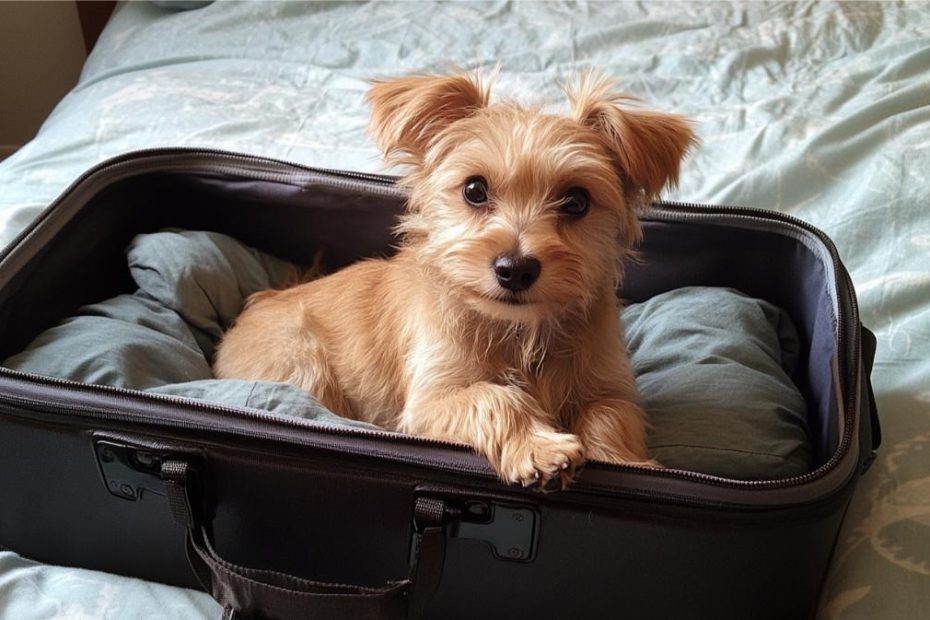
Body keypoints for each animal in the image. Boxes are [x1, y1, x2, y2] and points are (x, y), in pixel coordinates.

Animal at [214, 71, 692, 490]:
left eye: (577, 201)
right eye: (474, 190)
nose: (515, 268)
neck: (520, 333)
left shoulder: (609, 389)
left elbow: (610, 416)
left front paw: (622, 463)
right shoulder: (430, 404)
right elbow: (494, 397)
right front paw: (539, 447)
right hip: (304, 366)